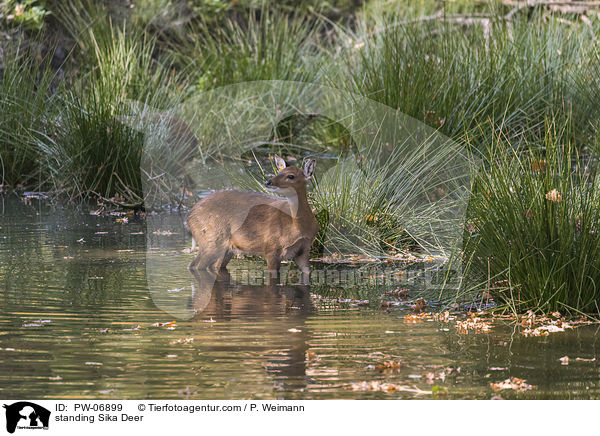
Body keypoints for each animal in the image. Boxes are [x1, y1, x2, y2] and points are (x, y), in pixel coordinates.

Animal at [188, 156, 318, 282]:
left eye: (291, 176)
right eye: (279, 171)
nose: (268, 182)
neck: (297, 227)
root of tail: (190, 215)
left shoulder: (304, 249)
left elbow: (308, 273)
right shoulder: (271, 248)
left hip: (223, 249)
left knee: (203, 265)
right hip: (212, 240)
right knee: (197, 265)